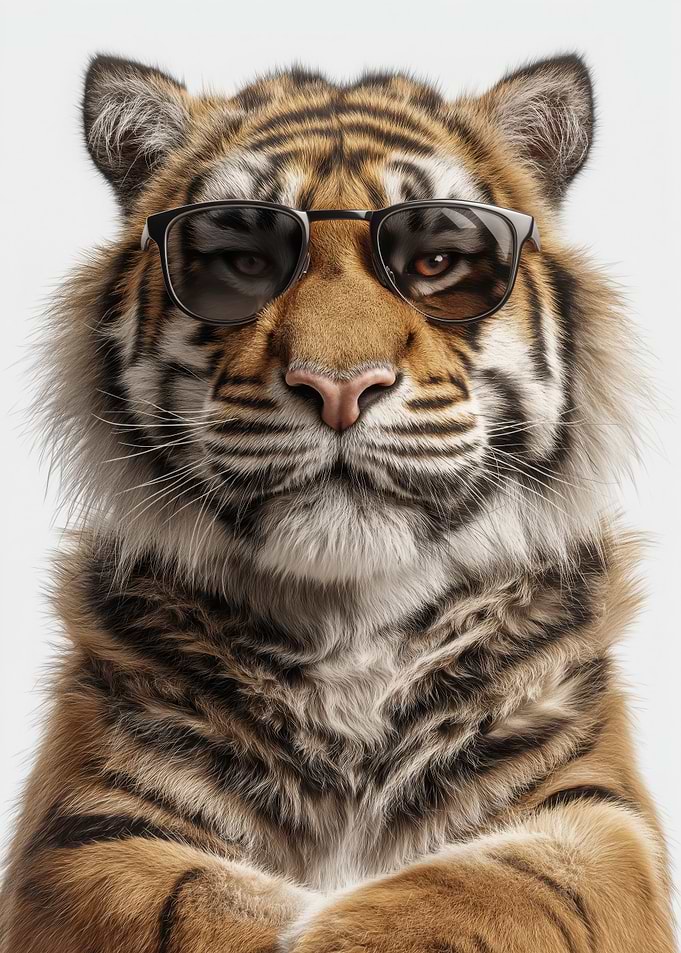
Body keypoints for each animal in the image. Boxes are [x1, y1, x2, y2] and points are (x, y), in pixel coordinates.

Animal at [0, 50, 675, 953]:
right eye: (247, 262)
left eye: (434, 264)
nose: (339, 386)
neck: (350, 627)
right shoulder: (87, 825)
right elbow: (188, 897)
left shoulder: (600, 816)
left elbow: (504, 886)